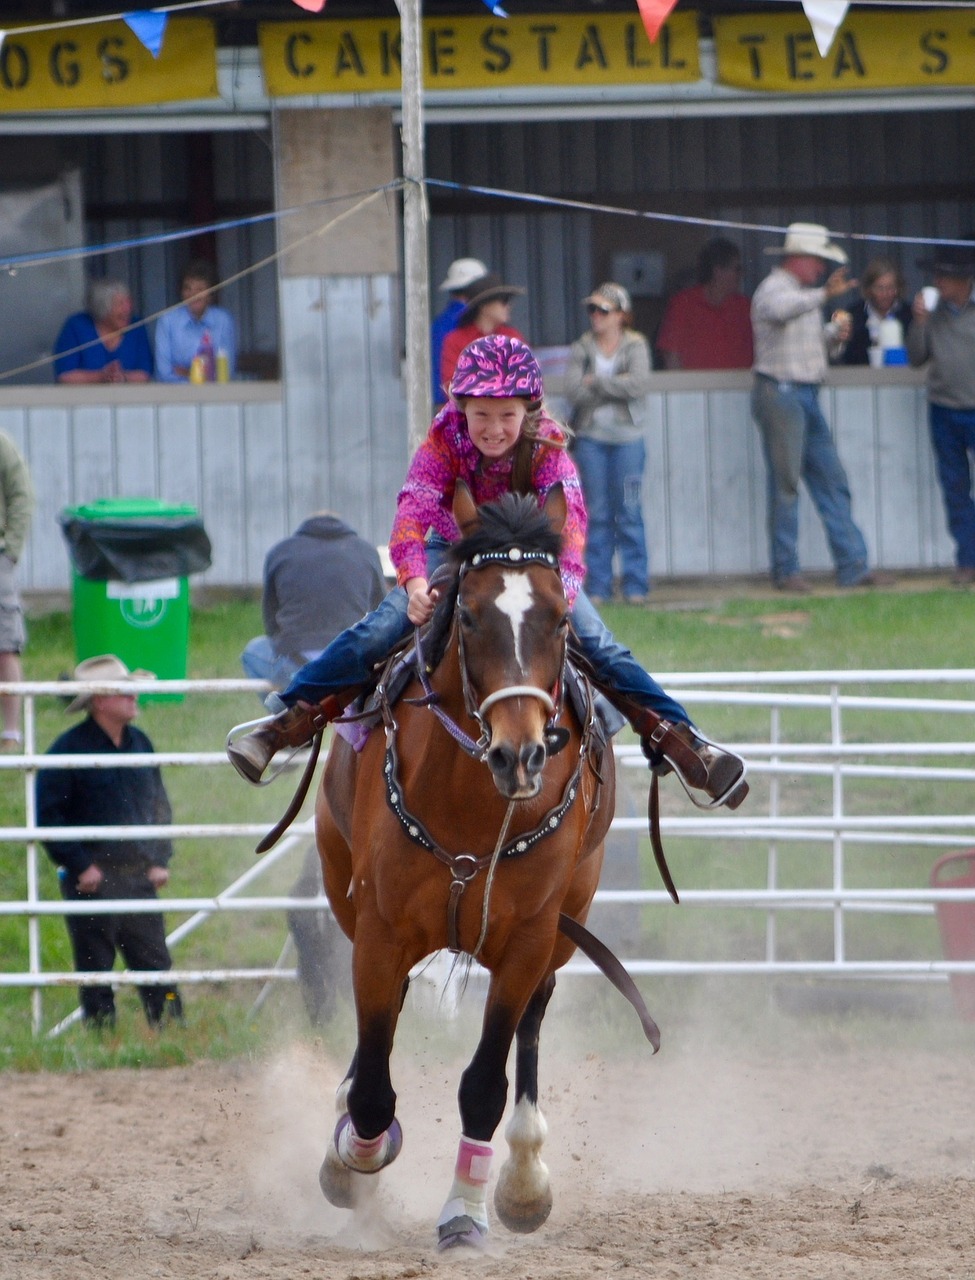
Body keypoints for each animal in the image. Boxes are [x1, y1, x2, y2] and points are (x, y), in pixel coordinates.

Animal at [313, 483, 629, 1244]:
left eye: (559, 619)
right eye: (469, 615)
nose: (520, 754)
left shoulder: (526, 942)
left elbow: (485, 1083)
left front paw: (464, 1213)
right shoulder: (381, 931)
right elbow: (373, 1093)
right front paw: (351, 1160)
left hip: (565, 923)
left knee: (534, 1024)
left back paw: (523, 1177)